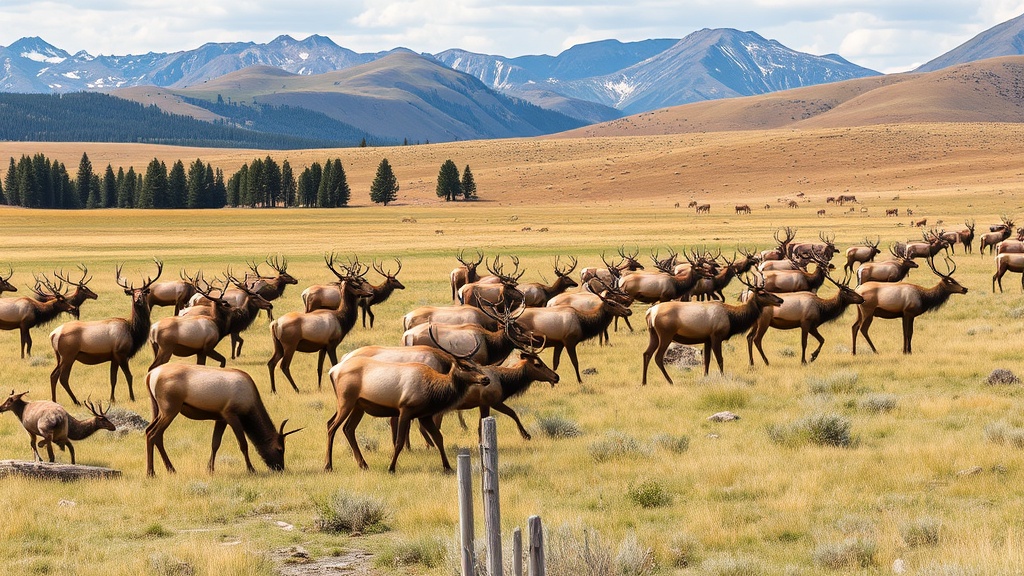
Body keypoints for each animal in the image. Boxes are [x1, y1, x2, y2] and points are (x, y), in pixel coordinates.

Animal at [48, 259, 163, 405]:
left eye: (143, 292)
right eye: (133, 293)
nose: (138, 300)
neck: (133, 332)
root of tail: (53, 335)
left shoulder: (113, 356)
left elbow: (113, 379)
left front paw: (112, 399)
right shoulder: (121, 353)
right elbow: (129, 376)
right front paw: (132, 397)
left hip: (59, 356)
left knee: (53, 375)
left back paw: (55, 400)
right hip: (68, 355)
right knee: (62, 377)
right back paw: (76, 401)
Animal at [145, 364, 301, 476]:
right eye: (280, 449)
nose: (280, 468)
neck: (250, 405)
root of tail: (150, 375)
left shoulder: (221, 418)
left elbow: (215, 443)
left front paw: (210, 469)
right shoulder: (231, 415)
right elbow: (243, 444)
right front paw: (251, 469)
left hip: (157, 409)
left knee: (150, 432)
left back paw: (168, 469)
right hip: (170, 409)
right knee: (153, 433)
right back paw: (152, 472)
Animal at [267, 259, 373, 393]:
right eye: (355, 285)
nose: (370, 293)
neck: (342, 319)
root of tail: (275, 324)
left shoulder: (322, 347)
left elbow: (319, 368)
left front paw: (319, 387)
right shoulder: (332, 344)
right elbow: (334, 365)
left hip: (278, 345)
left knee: (271, 363)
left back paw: (274, 390)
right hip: (290, 345)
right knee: (284, 365)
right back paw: (296, 389)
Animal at [325, 327, 491, 473]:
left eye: (477, 364)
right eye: (465, 366)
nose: (486, 379)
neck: (433, 390)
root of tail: (333, 371)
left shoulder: (425, 415)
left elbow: (439, 438)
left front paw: (448, 467)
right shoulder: (405, 409)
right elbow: (399, 442)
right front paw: (391, 468)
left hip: (358, 406)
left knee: (347, 428)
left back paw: (363, 464)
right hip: (346, 401)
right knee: (332, 426)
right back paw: (328, 466)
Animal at [642, 274, 783, 384]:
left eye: (768, 291)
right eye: (762, 293)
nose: (780, 300)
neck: (733, 319)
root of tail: (650, 312)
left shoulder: (707, 339)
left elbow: (707, 360)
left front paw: (706, 377)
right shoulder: (716, 336)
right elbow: (720, 359)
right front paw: (723, 377)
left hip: (653, 334)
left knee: (646, 353)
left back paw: (644, 382)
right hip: (666, 334)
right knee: (658, 357)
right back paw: (670, 381)